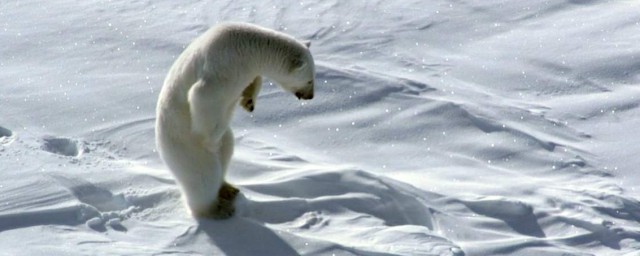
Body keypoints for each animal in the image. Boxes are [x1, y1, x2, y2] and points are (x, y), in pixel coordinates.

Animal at [155, 22, 316, 218]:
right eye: (310, 80)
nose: (311, 96)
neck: (249, 46)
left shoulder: (246, 67)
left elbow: (254, 80)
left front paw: (248, 101)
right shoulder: (224, 65)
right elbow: (202, 96)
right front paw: (208, 139)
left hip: (222, 140)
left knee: (226, 151)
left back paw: (228, 189)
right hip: (184, 148)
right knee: (203, 176)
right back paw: (217, 210)